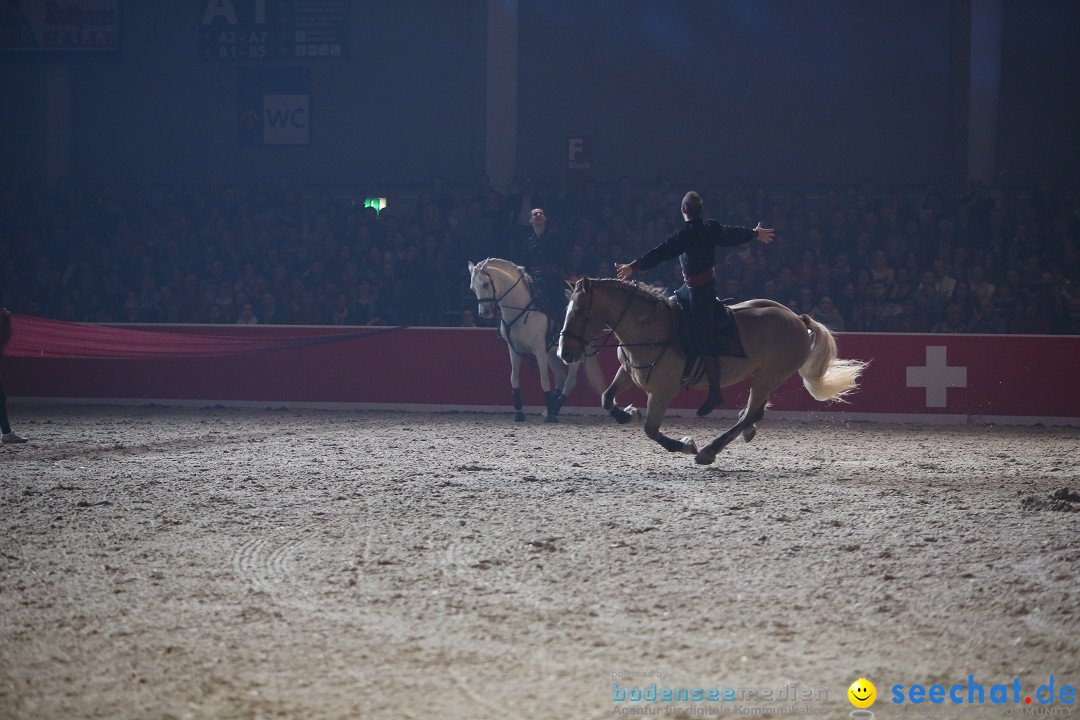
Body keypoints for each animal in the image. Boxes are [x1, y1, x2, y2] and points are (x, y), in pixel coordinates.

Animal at [466, 259, 600, 423]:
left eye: (485, 284)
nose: (484, 313)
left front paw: (549, 416)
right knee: (560, 379)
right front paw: (519, 413)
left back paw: (552, 411)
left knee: (569, 383)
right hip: (552, 353)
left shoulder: (539, 349)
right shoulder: (513, 350)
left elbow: (544, 380)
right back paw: (552, 410)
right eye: (472, 288)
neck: (521, 308)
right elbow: (514, 378)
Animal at [557, 278, 868, 464]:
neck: (650, 330)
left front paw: (687, 445)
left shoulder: (662, 391)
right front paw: (628, 413)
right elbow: (607, 399)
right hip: (765, 377)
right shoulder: (628, 371)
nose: (565, 353)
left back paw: (709, 450)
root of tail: (797, 319)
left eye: (581, 312)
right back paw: (744, 430)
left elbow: (651, 430)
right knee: (754, 413)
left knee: (752, 413)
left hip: (769, 377)